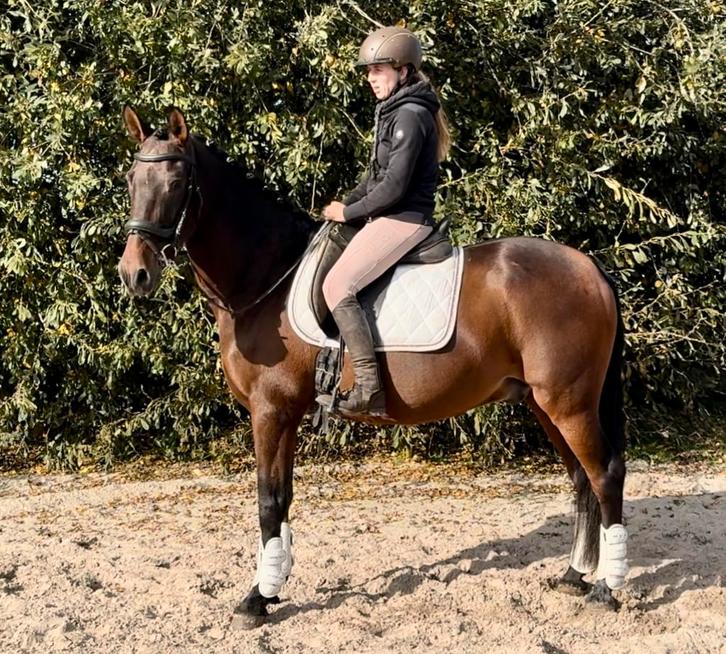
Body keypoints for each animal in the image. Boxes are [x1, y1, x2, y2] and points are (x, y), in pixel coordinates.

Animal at [118, 107, 628, 627]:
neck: (266, 279)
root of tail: (589, 268)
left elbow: (267, 501)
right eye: (131, 180)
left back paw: (605, 588)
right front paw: (274, 585)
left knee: (604, 476)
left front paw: (257, 598)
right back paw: (573, 576)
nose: (133, 274)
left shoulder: (271, 411)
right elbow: (284, 498)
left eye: (176, 183)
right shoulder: (286, 415)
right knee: (581, 480)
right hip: (546, 405)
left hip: (569, 404)